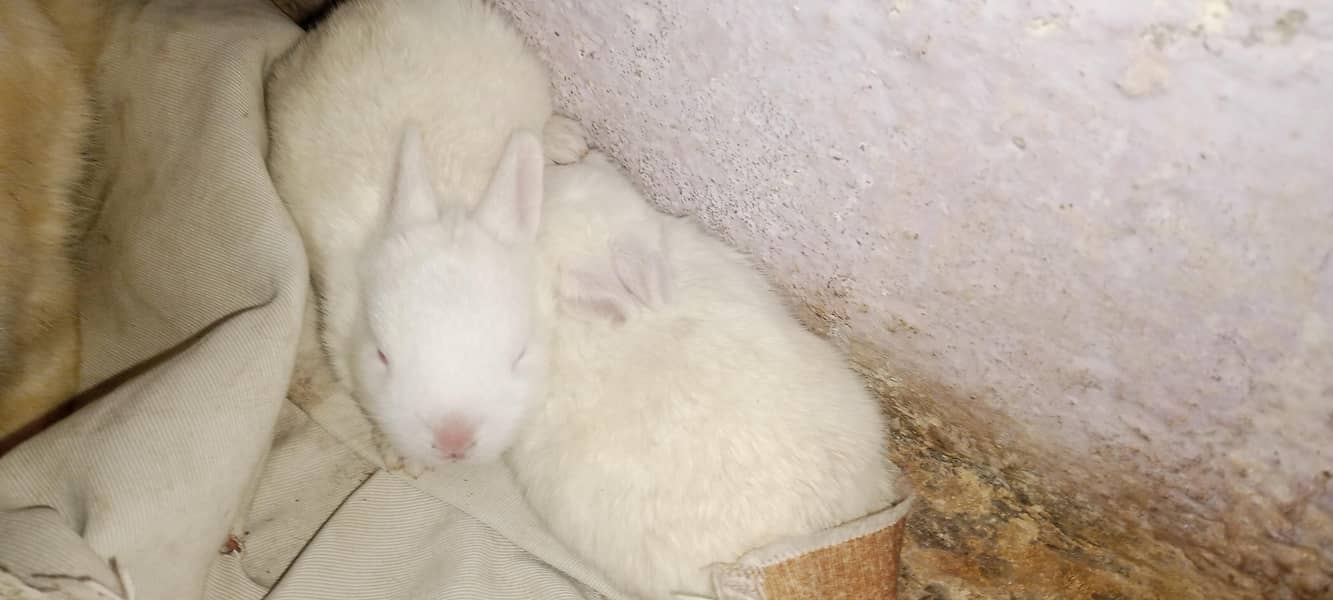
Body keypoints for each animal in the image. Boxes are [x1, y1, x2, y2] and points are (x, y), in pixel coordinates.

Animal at [266, 0, 582, 472]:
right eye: (382, 355)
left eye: (520, 355)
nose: (454, 440)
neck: (451, 197)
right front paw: (402, 459)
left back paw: (566, 140)